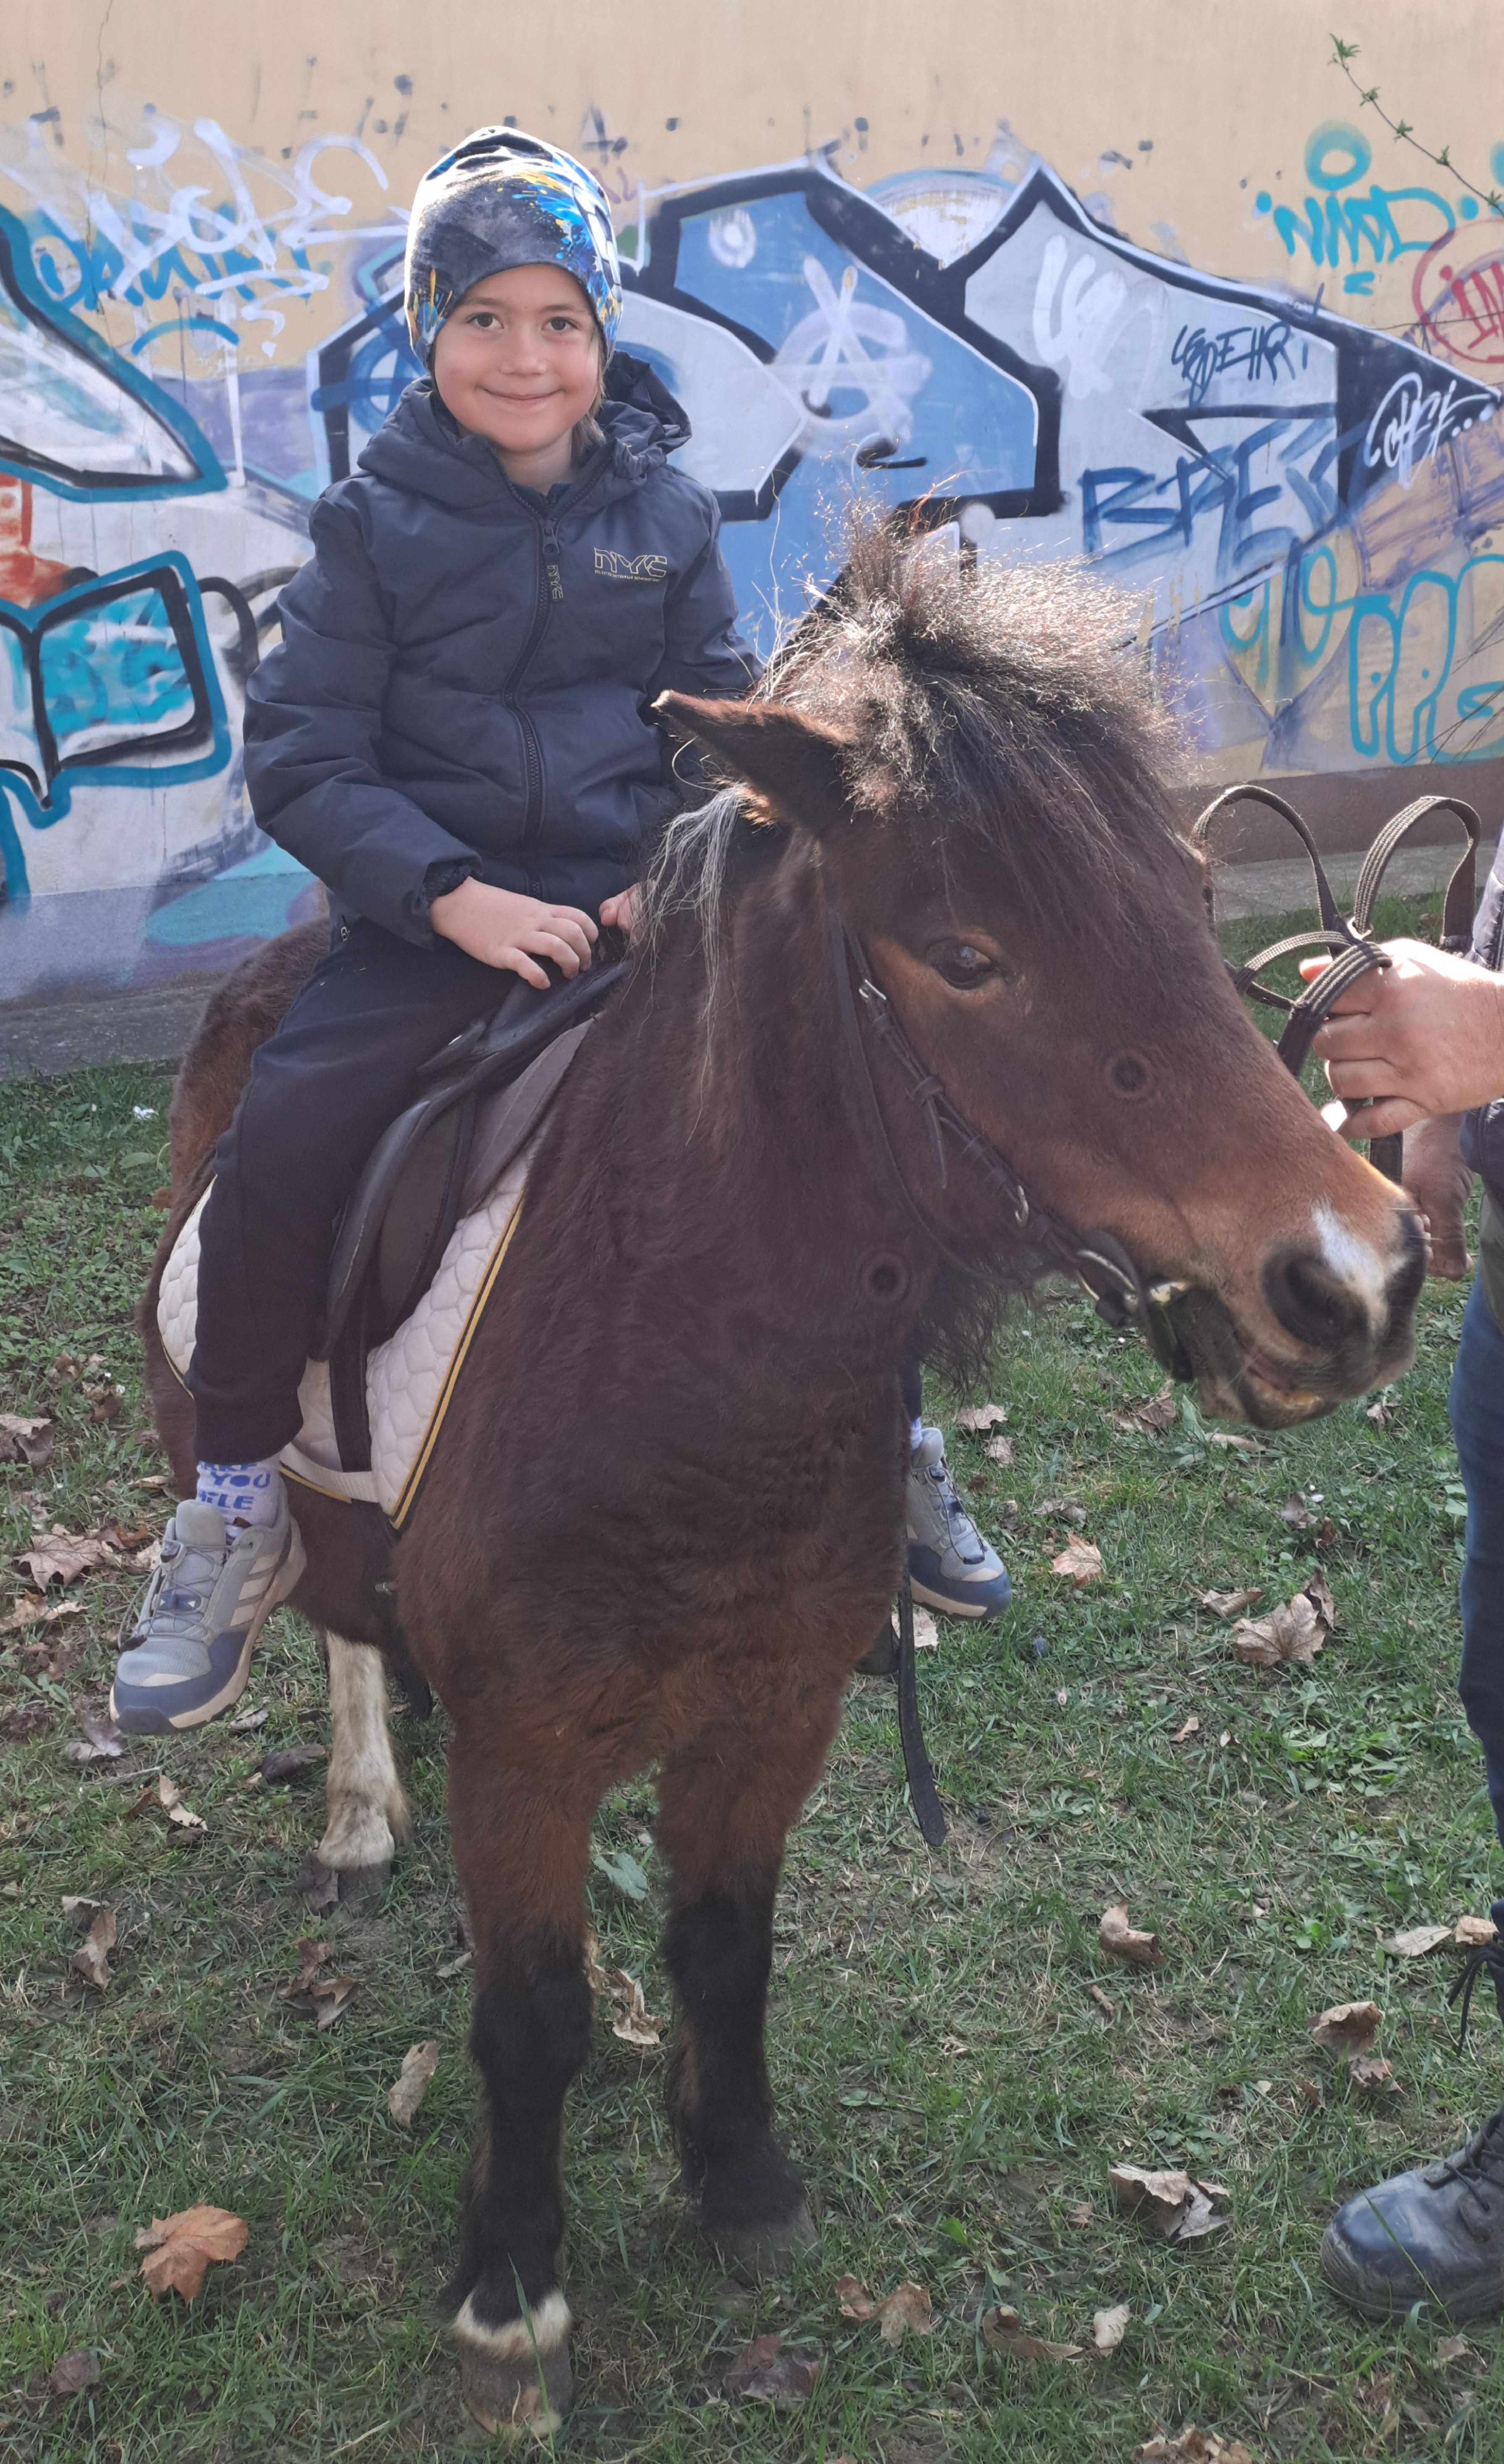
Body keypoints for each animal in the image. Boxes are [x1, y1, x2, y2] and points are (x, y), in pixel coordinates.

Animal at [138, 523, 1425, 2431]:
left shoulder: (776, 1710)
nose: (1353, 1277)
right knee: (314, 1591)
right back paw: (353, 1793)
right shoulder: (531, 1750)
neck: (674, 1362)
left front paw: (737, 2175)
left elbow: (725, 1944)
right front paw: (510, 2287)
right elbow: (531, 2017)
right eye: (963, 953)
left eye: (1196, 904)